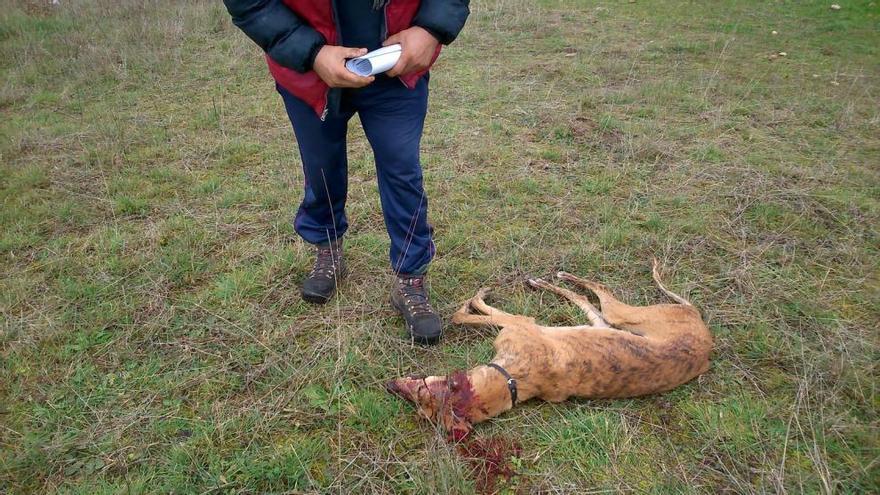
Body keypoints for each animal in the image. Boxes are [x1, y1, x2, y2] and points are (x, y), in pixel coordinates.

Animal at [388, 262, 712, 440]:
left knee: (596, 288)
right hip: (606, 323)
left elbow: (464, 314)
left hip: (622, 314)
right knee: (586, 300)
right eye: (422, 410)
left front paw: (476, 298)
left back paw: (555, 278)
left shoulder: (520, 323)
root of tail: (706, 336)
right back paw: (552, 281)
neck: (510, 380)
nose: (389, 386)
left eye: (421, 389)